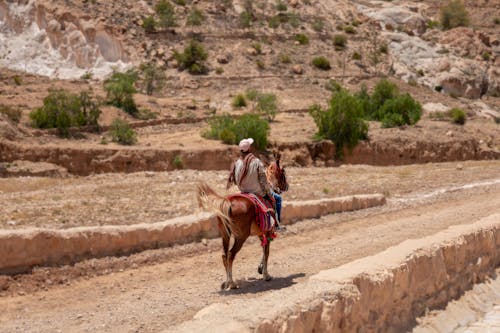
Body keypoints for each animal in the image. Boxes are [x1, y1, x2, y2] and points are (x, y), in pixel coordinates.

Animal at [196, 156, 288, 288]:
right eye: (283, 174)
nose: (286, 186)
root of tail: (227, 202)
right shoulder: (268, 232)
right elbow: (267, 252)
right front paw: (266, 274)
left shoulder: (261, 233)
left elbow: (264, 248)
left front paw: (261, 269)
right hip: (241, 237)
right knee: (230, 255)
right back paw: (232, 283)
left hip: (225, 235)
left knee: (224, 255)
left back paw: (227, 282)